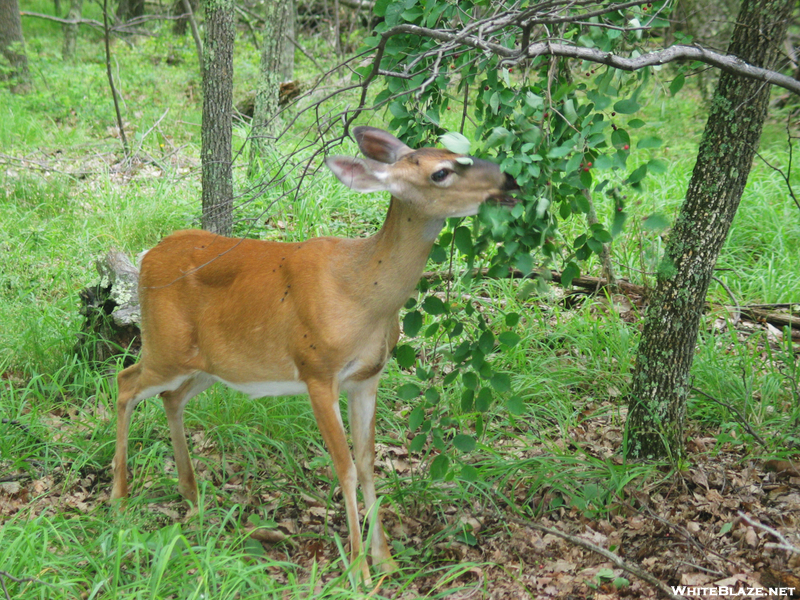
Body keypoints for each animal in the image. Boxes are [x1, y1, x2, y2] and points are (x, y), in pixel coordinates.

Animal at [109, 126, 516, 580]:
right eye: (441, 172)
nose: (509, 183)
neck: (363, 293)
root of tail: (148, 256)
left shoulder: (367, 377)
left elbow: (369, 462)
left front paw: (385, 560)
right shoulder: (317, 371)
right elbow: (346, 468)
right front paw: (358, 569)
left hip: (207, 367)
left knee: (170, 398)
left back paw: (192, 496)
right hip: (165, 346)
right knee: (125, 382)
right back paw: (120, 498)